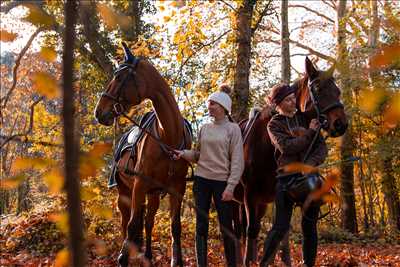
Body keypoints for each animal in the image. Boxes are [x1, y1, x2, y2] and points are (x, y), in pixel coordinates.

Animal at [95, 43, 192, 266]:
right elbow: (131, 226)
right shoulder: (139, 186)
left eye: (119, 77)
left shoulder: (177, 189)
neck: (168, 136)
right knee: (126, 223)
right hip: (124, 193)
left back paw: (146, 254)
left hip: (153, 193)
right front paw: (123, 258)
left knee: (147, 222)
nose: (98, 112)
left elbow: (175, 227)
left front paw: (176, 260)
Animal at [233, 57, 348, 266]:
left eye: (337, 91)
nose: (340, 124)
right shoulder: (249, 195)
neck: (265, 145)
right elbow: (252, 230)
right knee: (239, 230)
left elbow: (281, 235)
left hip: (260, 203)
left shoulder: (276, 198)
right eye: (318, 89)